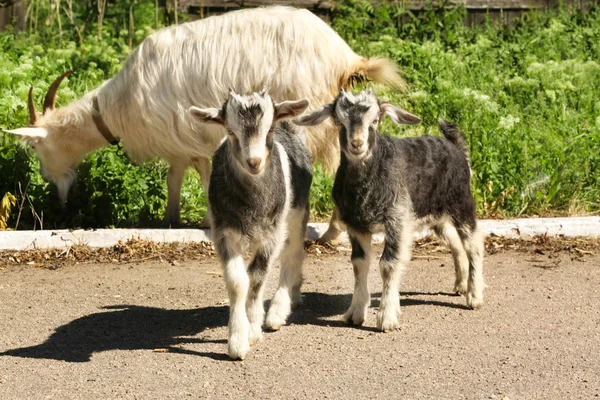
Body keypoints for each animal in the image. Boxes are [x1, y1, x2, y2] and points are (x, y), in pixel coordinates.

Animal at [3, 5, 404, 231]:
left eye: (38, 149)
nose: (54, 191)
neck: (117, 107)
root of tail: (344, 56)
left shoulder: (186, 132)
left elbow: (191, 176)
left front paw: (202, 220)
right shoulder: (185, 140)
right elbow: (183, 176)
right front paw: (177, 219)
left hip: (312, 116)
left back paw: (333, 231)